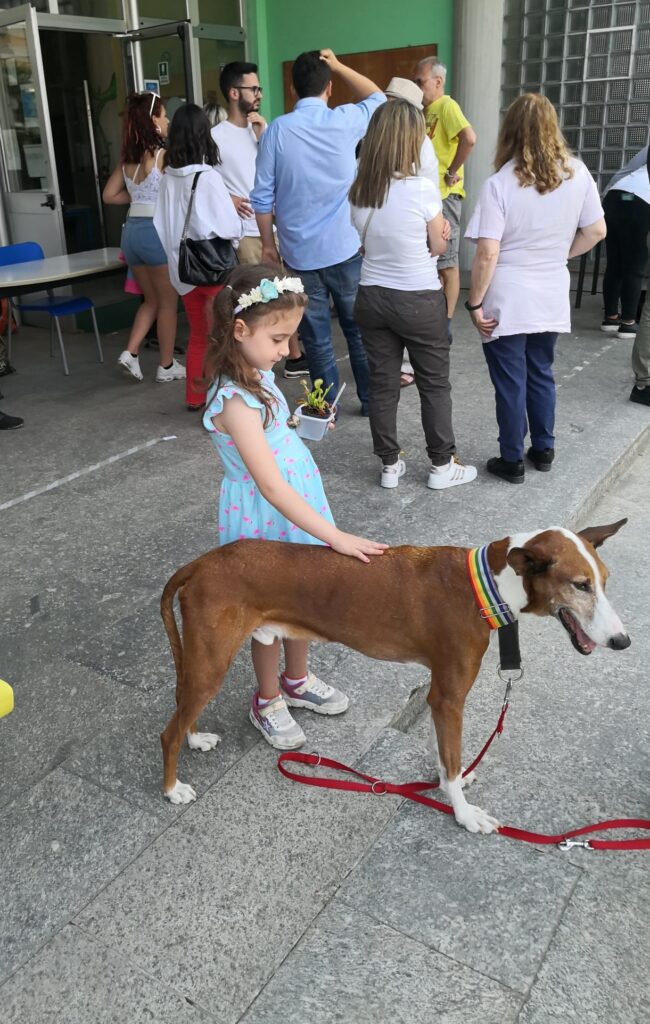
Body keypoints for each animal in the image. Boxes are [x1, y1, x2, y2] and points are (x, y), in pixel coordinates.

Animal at [161, 520, 630, 831]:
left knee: (183, 707)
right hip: (211, 660)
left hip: (203, 659)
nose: (623, 641)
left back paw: (195, 738)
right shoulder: (449, 697)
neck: (489, 585)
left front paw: (445, 783)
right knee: (169, 731)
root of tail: (200, 563)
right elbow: (452, 761)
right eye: (580, 585)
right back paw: (171, 788)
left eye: (605, 581)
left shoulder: (439, 694)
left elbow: (445, 755)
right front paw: (462, 812)